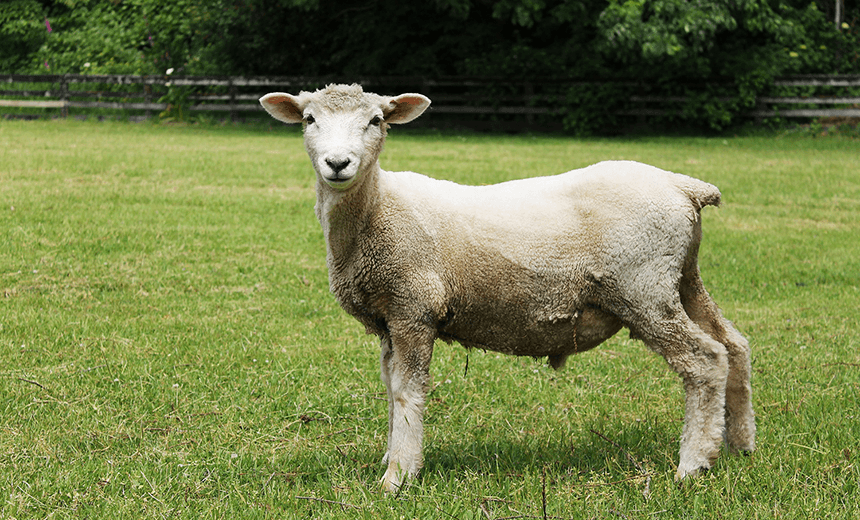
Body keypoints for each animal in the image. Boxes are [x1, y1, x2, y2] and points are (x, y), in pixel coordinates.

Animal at [258, 83, 756, 494]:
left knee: (704, 359)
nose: (337, 164)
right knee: (733, 343)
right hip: (681, 278)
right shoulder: (388, 318)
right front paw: (390, 457)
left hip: (643, 287)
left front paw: (398, 476)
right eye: (309, 119)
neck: (378, 209)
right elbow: (389, 386)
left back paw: (693, 464)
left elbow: (406, 391)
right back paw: (739, 444)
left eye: (376, 120)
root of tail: (683, 186)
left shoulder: (414, 308)